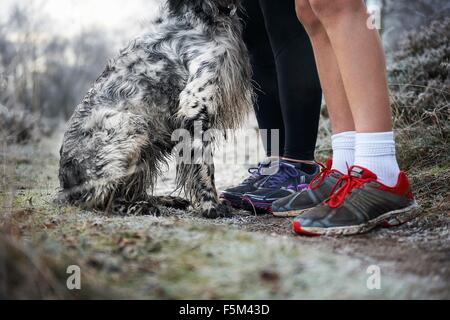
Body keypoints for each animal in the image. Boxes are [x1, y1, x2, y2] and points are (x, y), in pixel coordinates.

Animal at [57, 0, 253, 218]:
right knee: (104, 199)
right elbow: (205, 164)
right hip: (133, 129)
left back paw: (165, 199)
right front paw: (211, 205)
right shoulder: (195, 106)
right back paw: (139, 206)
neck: (202, 14)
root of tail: (66, 186)